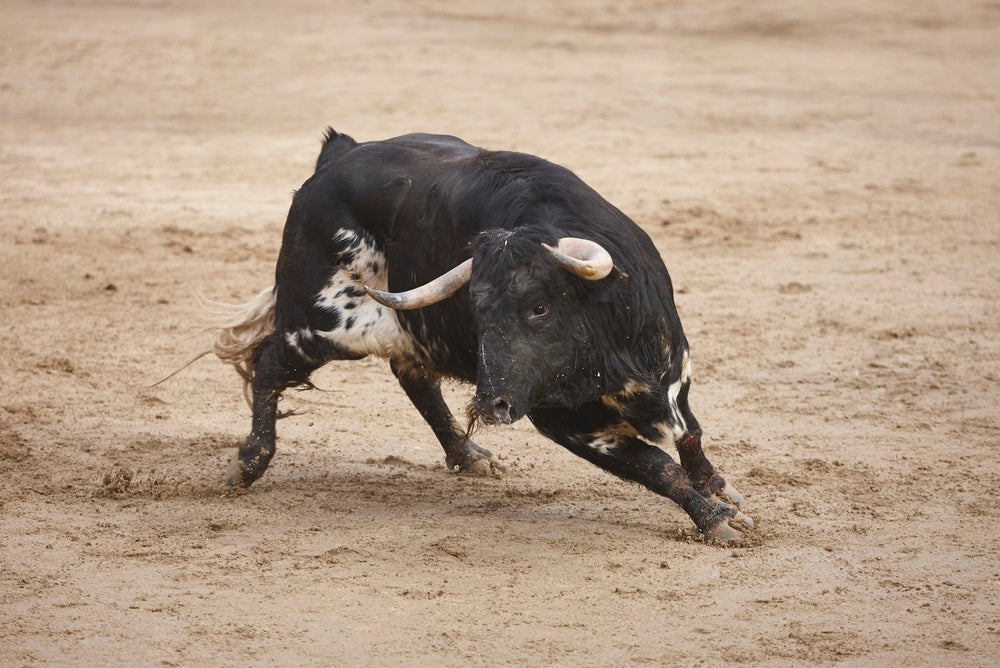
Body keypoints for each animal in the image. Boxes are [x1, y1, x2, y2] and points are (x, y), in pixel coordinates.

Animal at [210, 129, 754, 542]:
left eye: (539, 307)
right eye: (476, 311)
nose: (491, 404)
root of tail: (336, 157)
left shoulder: (674, 372)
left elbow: (690, 437)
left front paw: (716, 488)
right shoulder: (563, 419)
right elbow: (656, 465)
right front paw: (717, 520)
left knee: (414, 379)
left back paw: (468, 455)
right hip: (323, 323)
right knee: (270, 363)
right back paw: (249, 463)